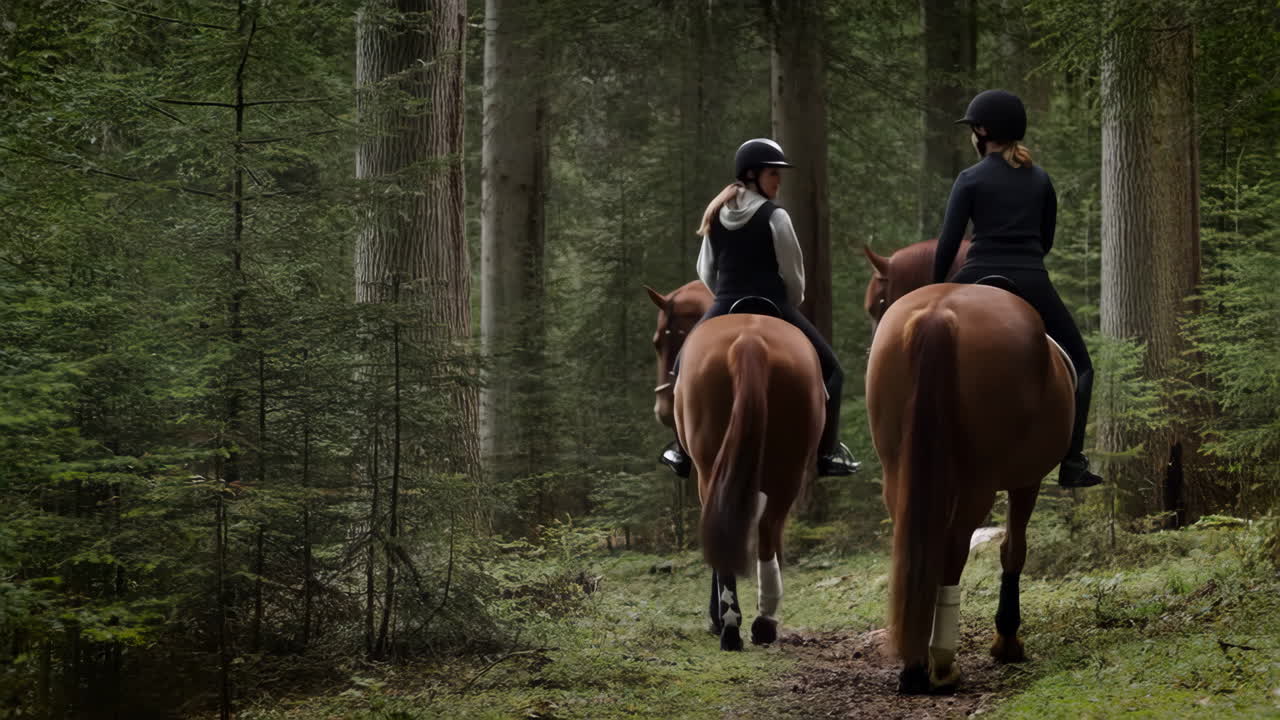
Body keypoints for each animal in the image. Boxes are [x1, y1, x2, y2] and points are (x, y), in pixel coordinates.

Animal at [645, 283, 824, 651]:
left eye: (660, 342)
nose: (664, 410)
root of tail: (749, 341)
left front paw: (717, 617)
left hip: (718, 468)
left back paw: (733, 624)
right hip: (787, 468)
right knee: (768, 528)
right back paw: (760, 621)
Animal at [862, 240, 1075, 694]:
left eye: (877, 304)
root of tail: (940, 314)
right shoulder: (1026, 480)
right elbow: (1013, 550)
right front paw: (1007, 640)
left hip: (899, 475)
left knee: (917, 552)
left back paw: (914, 662)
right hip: (981, 480)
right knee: (953, 547)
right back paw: (941, 665)